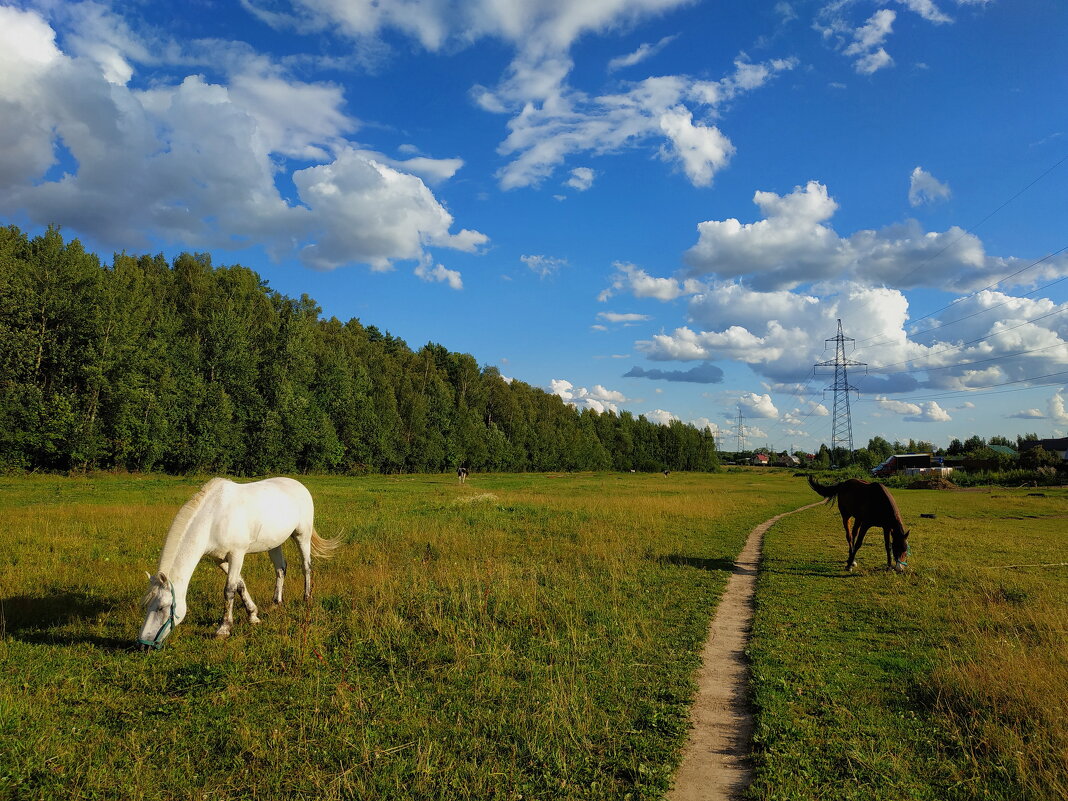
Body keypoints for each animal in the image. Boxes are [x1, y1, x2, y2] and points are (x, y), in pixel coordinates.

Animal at [136, 476, 337, 653]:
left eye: (162, 607)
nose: (143, 645)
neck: (213, 519)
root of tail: (299, 485)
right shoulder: (220, 559)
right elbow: (240, 585)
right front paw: (253, 615)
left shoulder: (237, 554)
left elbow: (229, 590)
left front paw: (224, 629)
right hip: (274, 543)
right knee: (280, 569)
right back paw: (276, 603)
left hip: (302, 535)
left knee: (306, 566)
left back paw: (307, 598)